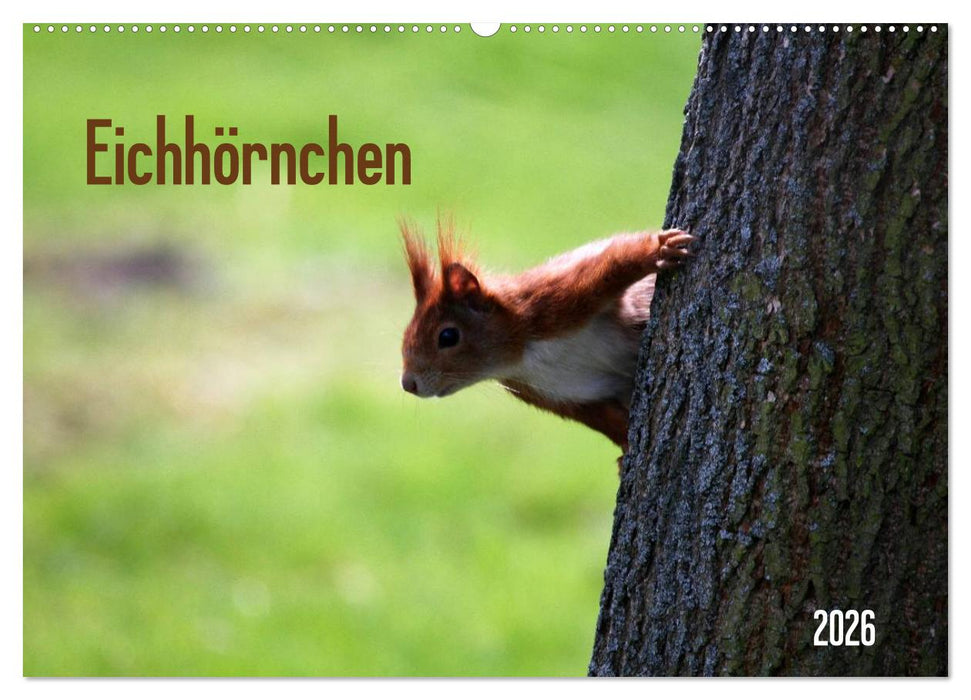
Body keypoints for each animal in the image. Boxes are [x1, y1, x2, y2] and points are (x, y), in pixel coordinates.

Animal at [399, 217, 695, 453]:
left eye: (448, 336)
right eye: (405, 334)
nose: (408, 384)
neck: (522, 355)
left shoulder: (556, 298)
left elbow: (614, 262)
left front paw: (658, 249)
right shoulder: (554, 395)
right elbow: (602, 418)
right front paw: (625, 449)